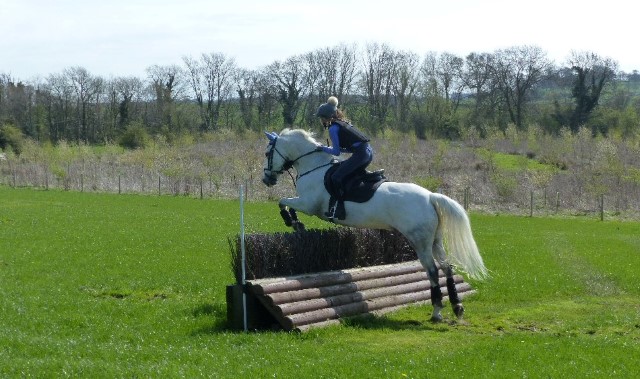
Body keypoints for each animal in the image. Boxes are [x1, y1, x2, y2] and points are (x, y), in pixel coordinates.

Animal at [260, 129, 484, 322]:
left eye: (267, 153)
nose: (266, 179)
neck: (313, 166)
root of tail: (430, 196)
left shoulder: (308, 204)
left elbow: (283, 201)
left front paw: (291, 220)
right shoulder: (306, 203)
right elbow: (286, 202)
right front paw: (296, 223)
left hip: (419, 241)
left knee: (433, 271)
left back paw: (437, 311)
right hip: (435, 240)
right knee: (447, 267)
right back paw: (457, 306)